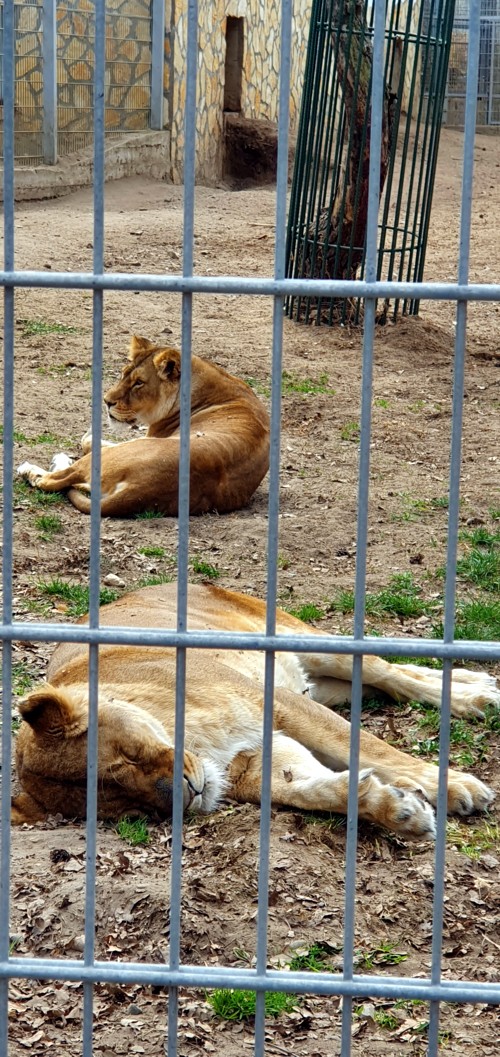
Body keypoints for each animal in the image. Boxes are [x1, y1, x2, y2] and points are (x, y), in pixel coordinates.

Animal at [12, 582, 499, 838]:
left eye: (130, 755)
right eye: (132, 811)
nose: (188, 795)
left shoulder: (278, 704)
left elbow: (374, 749)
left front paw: (452, 787)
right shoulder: (260, 757)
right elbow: (307, 790)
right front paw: (395, 808)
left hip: (305, 643)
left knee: (387, 670)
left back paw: (476, 697)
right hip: (322, 686)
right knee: (386, 680)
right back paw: (478, 685)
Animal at [17, 337, 270, 517]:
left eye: (139, 383)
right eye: (123, 374)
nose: (107, 401)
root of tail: (142, 490)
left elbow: (87, 441)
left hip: (123, 452)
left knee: (51, 480)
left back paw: (39, 466)